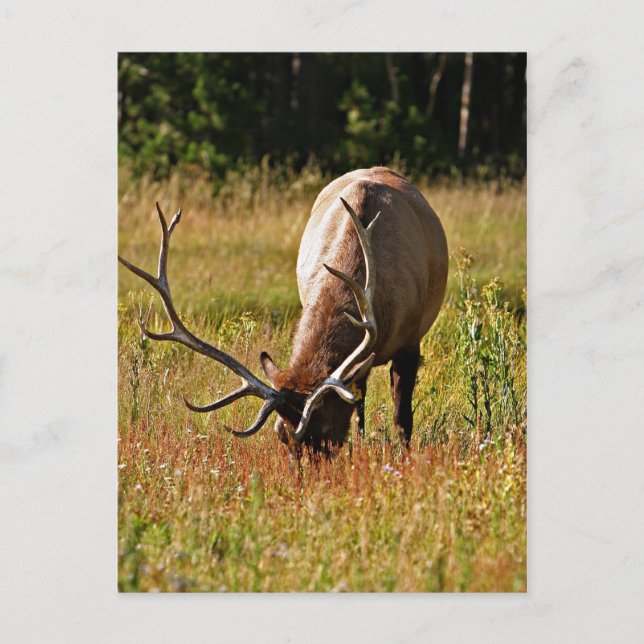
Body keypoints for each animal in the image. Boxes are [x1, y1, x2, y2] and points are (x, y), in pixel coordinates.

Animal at [118, 167, 448, 455]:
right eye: (281, 435)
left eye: (325, 432)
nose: (305, 480)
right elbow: (359, 408)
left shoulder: (410, 340)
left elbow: (402, 418)